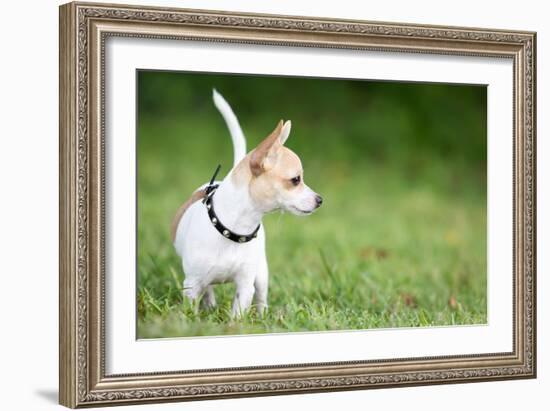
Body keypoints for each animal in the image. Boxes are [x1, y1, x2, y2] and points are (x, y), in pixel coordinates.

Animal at [172, 89, 324, 316]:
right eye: (296, 180)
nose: (320, 200)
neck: (232, 229)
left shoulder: (245, 285)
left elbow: (238, 313)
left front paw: (236, 322)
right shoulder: (191, 285)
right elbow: (192, 308)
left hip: (261, 274)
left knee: (261, 297)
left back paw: (262, 316)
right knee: (208, 290)